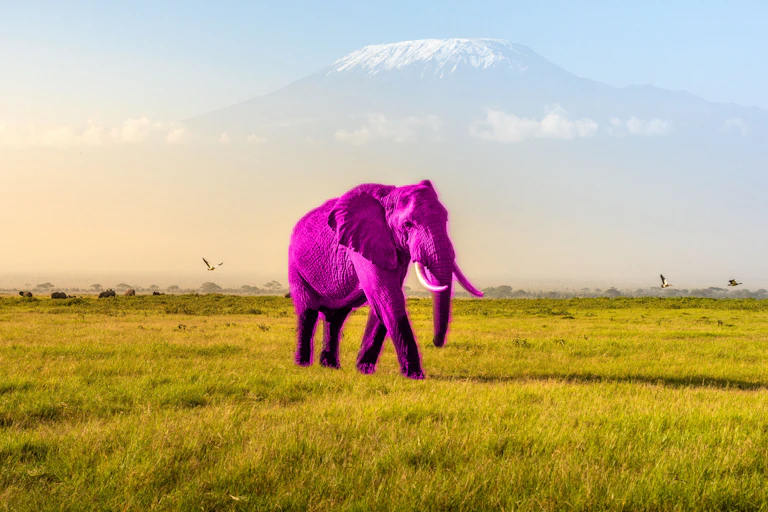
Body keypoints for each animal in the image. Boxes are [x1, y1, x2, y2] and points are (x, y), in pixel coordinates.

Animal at [288, 180, 483, 379]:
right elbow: (387, 296)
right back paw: (303, 365)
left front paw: (364, 370)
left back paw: (330, 367)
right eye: (407, 225)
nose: (436, 343)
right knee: (308, 312)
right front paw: (414, 375)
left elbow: (382, 300)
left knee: (336, 317)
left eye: (446, 219)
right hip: (296, 265)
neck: (389, 197)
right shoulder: (363, 242)